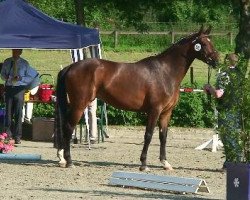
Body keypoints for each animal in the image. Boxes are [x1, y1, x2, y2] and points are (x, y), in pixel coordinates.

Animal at [54, 25, 219, 171]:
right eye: (204, 43)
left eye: (211, 41)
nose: (216, 60)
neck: (165, 72)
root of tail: (71, 67)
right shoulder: (154, 110)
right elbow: (148, 135)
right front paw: (144, 164)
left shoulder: (166, 113)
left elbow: (163, 136)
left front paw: (165, 163)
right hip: (79, 105)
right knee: (68, 127)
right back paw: (68, 161)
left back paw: (62, 158)